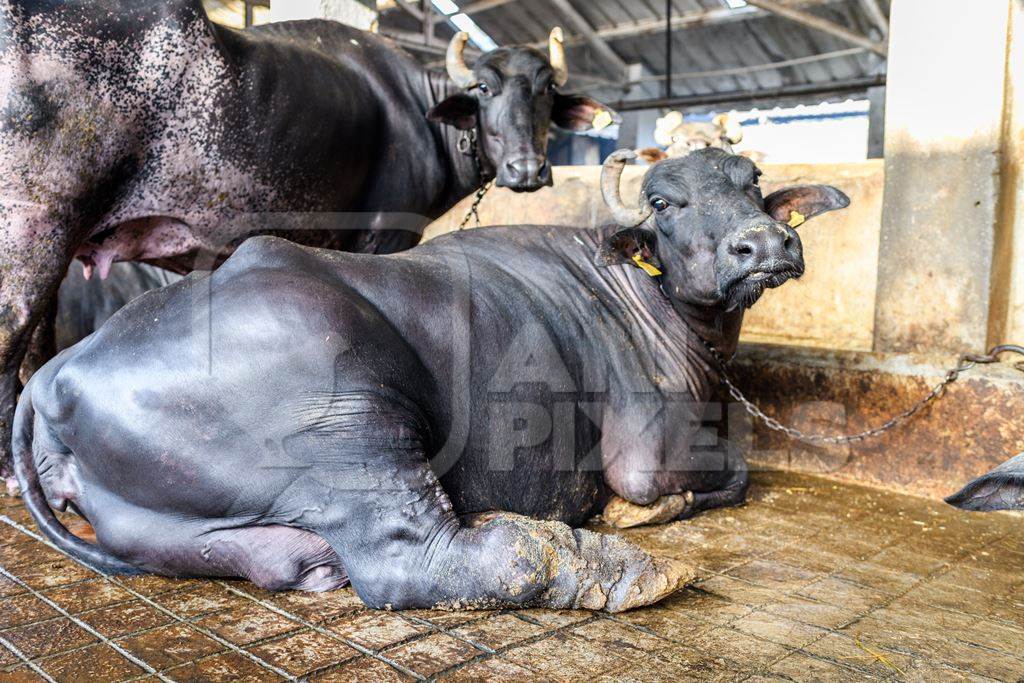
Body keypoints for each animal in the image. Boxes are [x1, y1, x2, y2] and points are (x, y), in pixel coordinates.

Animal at [0, 0, 614, 485]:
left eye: (549, 90)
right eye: (485, 88)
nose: (527, 169)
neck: (420, 111)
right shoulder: (385, 234)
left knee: (39, 336)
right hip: (34, 222)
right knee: (13, 327)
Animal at [14, 150, 847, 614]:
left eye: (755, 186)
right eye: (667, 204)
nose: (764, 242)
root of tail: (55, 371)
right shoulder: (646, 453)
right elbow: (729, 474)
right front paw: (635, 517)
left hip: (185, 530)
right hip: (346, 408)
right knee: (415, 558)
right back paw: (615, 567)